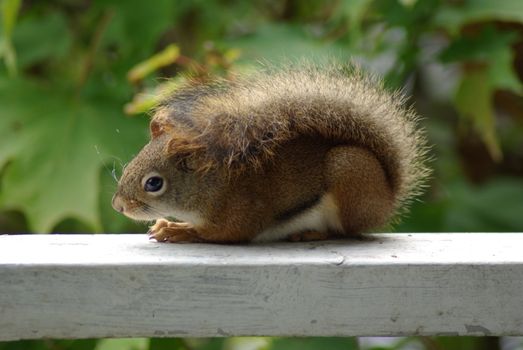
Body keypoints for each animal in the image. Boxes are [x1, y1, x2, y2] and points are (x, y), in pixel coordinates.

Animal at [111, 63, 430, 243]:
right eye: (129, 166)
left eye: (154, 183)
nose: (118, 206)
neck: (211, 186)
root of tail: (388, 195)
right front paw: (168, 223)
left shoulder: (241, 211)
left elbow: (224, 235)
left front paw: (180, 231)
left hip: (348, 171)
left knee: (347, 231)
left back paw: (313, 233)